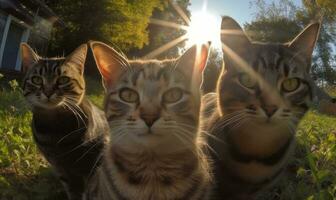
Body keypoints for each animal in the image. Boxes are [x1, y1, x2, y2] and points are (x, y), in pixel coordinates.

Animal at [20, 43, 109, 200]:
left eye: (63, 80)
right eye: (37, 79)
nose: (48, 92)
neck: (55, 132)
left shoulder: (92, 166)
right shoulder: (61, 170)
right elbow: (73, 192)